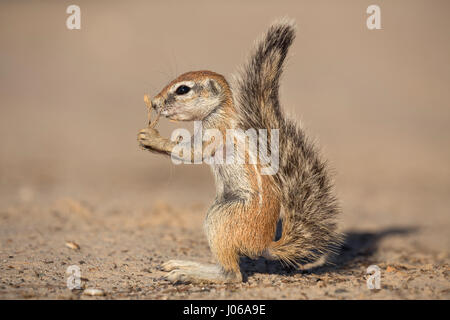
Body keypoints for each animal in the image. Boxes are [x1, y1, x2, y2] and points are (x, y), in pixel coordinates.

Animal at [137, 18, 342, 282]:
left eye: (183, 89)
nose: (154, 102)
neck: (219, 112)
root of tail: (263, 244)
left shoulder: (215, 133)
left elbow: (191, 153)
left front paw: (152, 138)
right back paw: (182, 265)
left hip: (222, 218)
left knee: (232, 274)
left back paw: (187, 273)